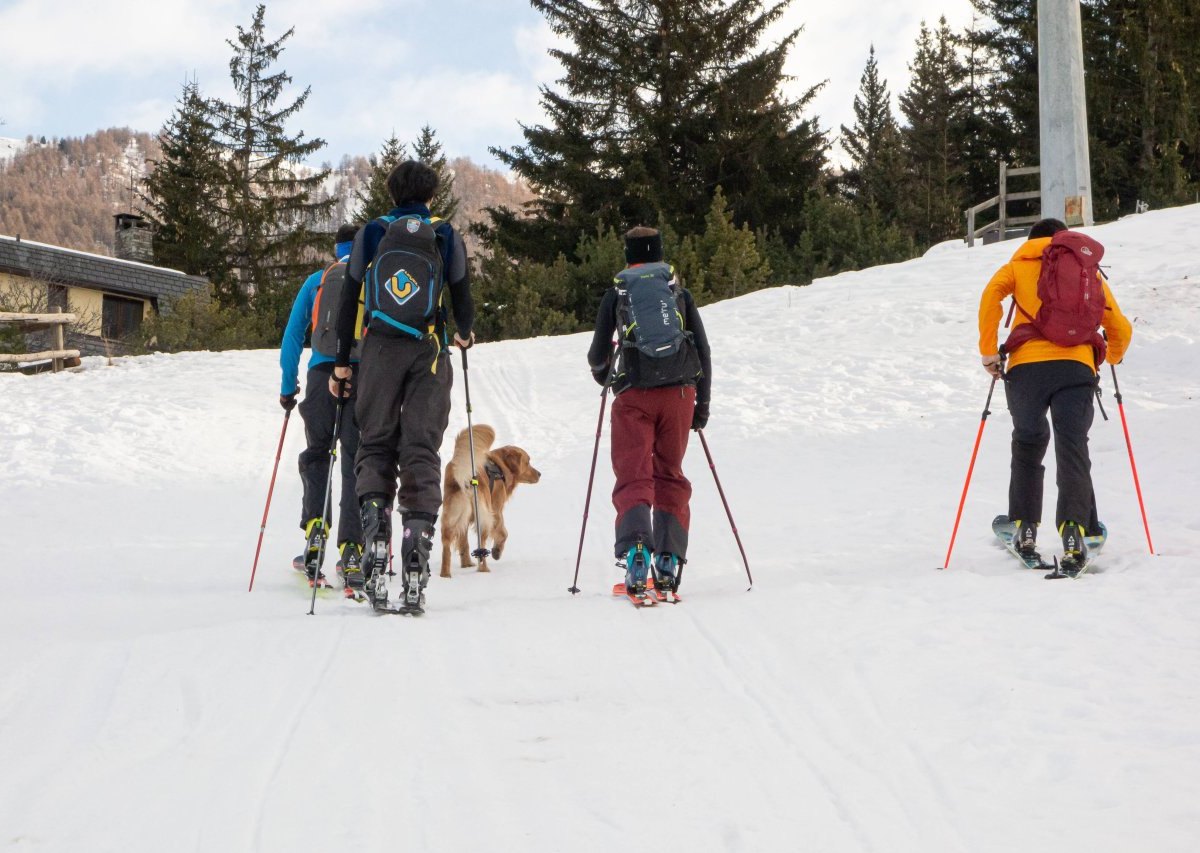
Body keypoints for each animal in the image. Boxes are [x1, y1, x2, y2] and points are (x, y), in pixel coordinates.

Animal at [439, 424, 542, 578]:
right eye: (528, 461)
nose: (540, 474)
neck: (500, 467)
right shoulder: (496, 511)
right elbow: (504, 533)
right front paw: (497, 551)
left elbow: (463, 542)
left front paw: (466, 564)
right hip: (484, 517)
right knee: (481, 546)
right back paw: (483, 569)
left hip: (452, 516)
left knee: (447, 546)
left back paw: (445, 574)